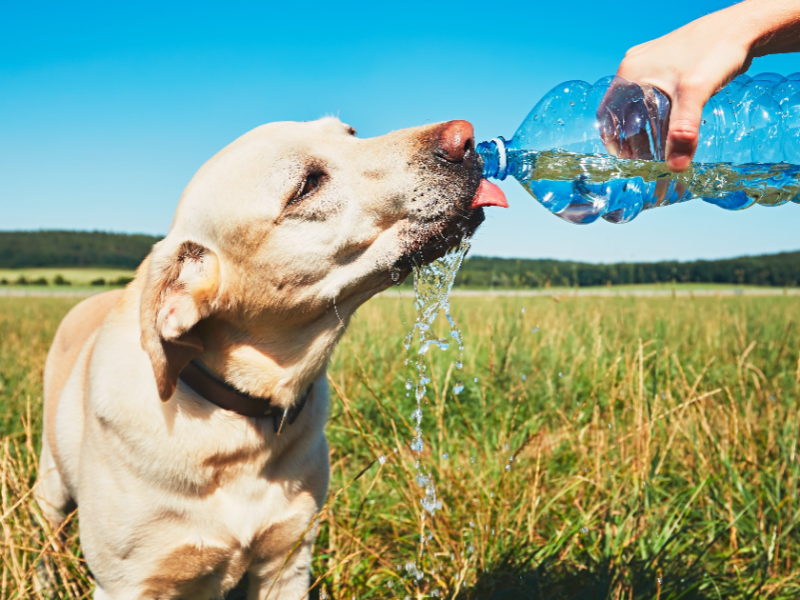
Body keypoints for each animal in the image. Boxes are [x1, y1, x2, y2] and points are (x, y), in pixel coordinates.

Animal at [34, 118, 506, 600]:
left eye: (351, 132)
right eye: (307, 185)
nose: (466, 137)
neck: (239, 424)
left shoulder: (288, 559)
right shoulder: (128, 582)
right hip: (50, 484)